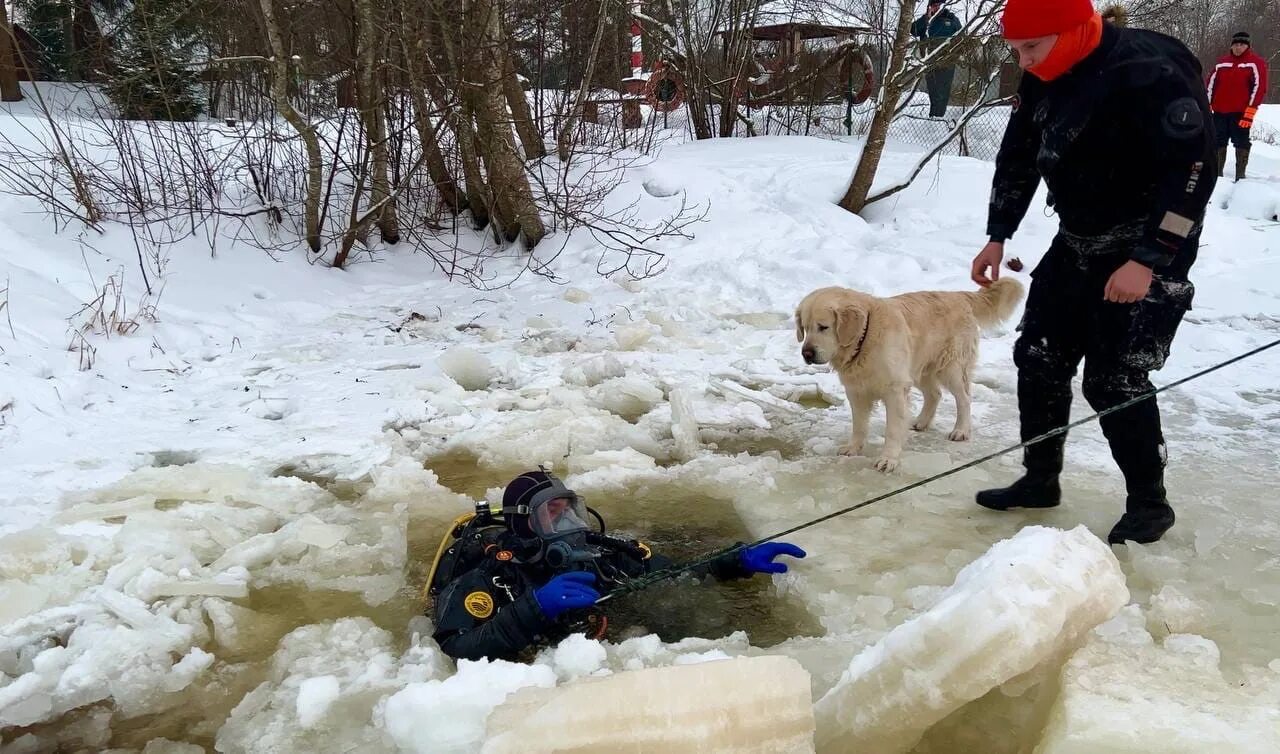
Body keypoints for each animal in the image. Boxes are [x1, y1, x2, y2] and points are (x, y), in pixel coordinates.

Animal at [793, 279, 1024, 471]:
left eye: (823, 327)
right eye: (804, 328)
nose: (806, 353)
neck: (864, 340)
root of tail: (958, 295)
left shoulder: (895, 389)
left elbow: (893, 429)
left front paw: (888, 459)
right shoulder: (856, 391)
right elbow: (858, 425)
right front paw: (853, 448)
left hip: (951, 368)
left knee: (964, 399)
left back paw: (961, 430)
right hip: (920, 369)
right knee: (934, 394)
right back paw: (921, 422)